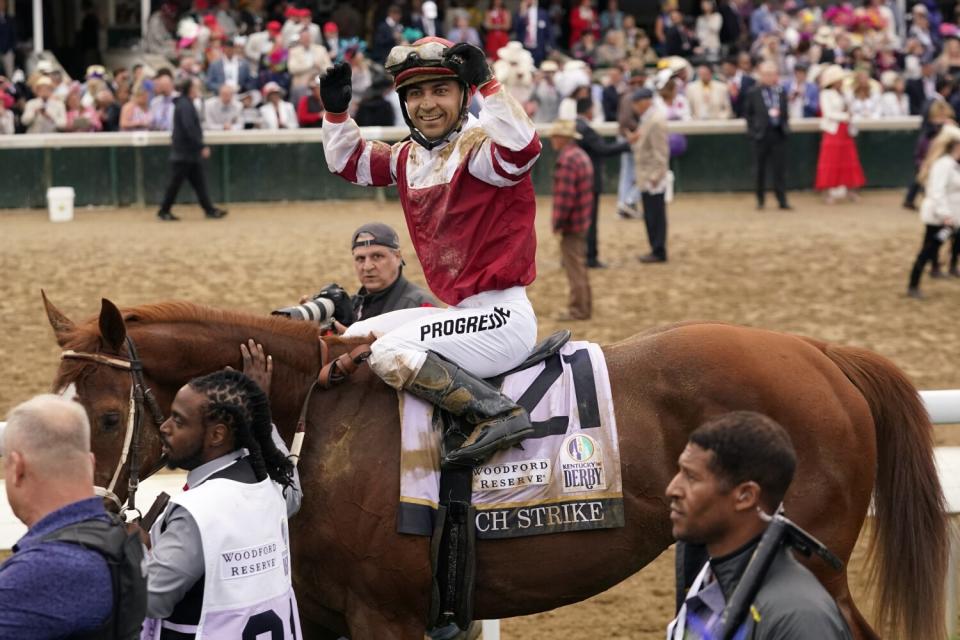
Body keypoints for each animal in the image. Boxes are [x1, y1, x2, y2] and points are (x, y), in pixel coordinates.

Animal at [43, 296, 944, 640]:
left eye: (110, 416)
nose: (95, 516)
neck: (313, 417)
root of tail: (821, 352)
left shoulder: (385, 617)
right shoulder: (326, 612)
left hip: (811, 560)